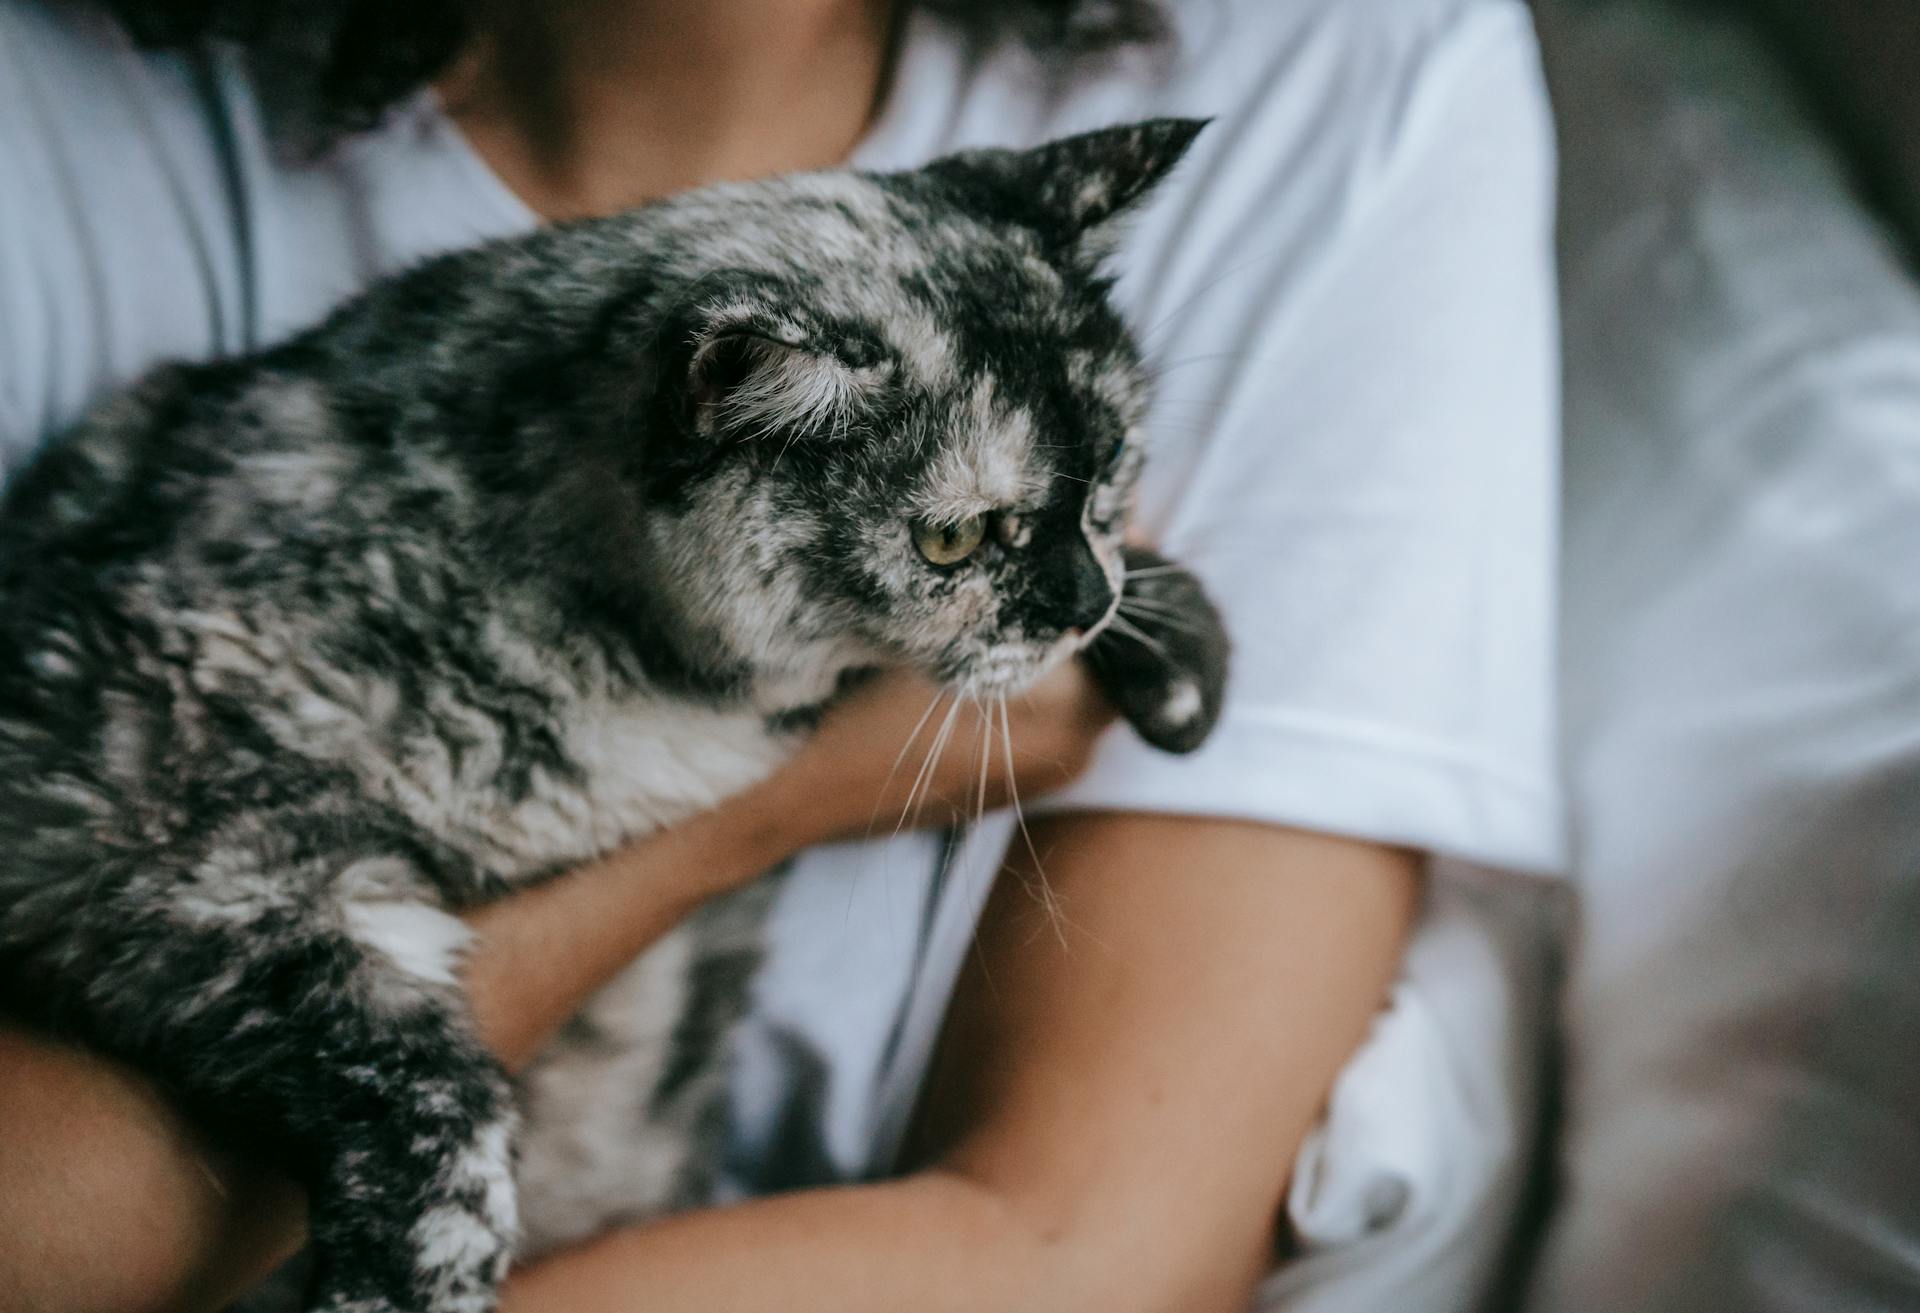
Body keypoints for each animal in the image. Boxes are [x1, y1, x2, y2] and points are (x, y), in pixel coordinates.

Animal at [0, 118, 1228, 1305]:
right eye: (953, 539)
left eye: (1112, 468)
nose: (1081, 604)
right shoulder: (144, 818)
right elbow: (405, 1065)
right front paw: (412, 1271)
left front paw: (1184, 652)